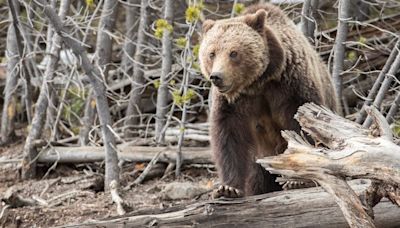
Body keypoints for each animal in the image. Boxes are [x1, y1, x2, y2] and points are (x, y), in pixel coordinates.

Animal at [198, 3, 340, 198]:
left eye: (233, 53)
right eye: (211, 53)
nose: (217, 77)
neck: (258, 82)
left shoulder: (291, 86)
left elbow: (302, 127)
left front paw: (297, 180)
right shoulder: (233, 103)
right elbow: (229, 136)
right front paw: (228, 188)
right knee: (257, 177)